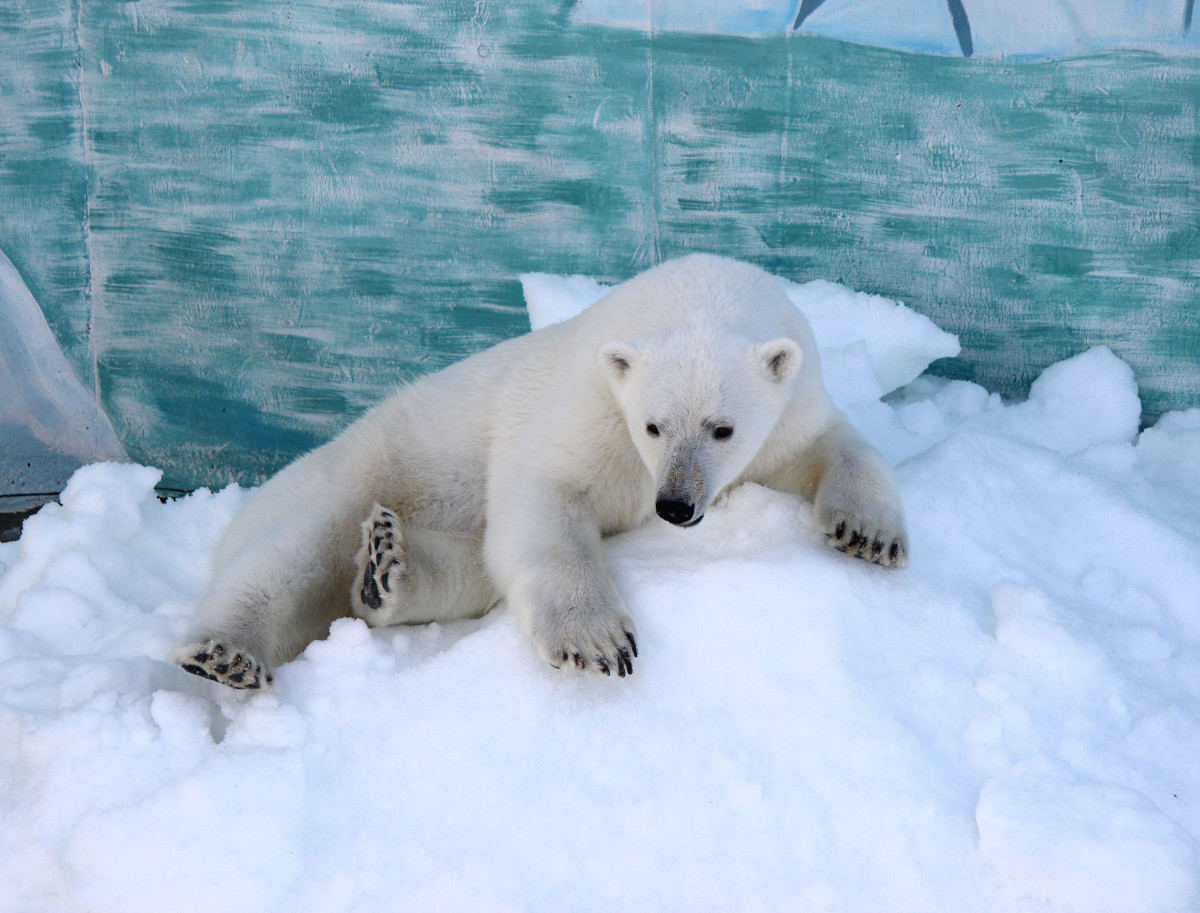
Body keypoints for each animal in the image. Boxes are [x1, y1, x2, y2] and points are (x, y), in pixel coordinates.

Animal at [174, 253, 902, 686]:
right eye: (652, 425)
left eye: (722, 428)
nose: (674, 505)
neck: (702, 297)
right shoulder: (592, 403)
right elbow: (545, 496)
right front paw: (598, 642)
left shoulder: (788, 405)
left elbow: (830, 445)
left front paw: (866, 534)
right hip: (360, 465)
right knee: (284, 561)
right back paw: (226, 654)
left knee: (463, 569)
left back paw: (386, 568)